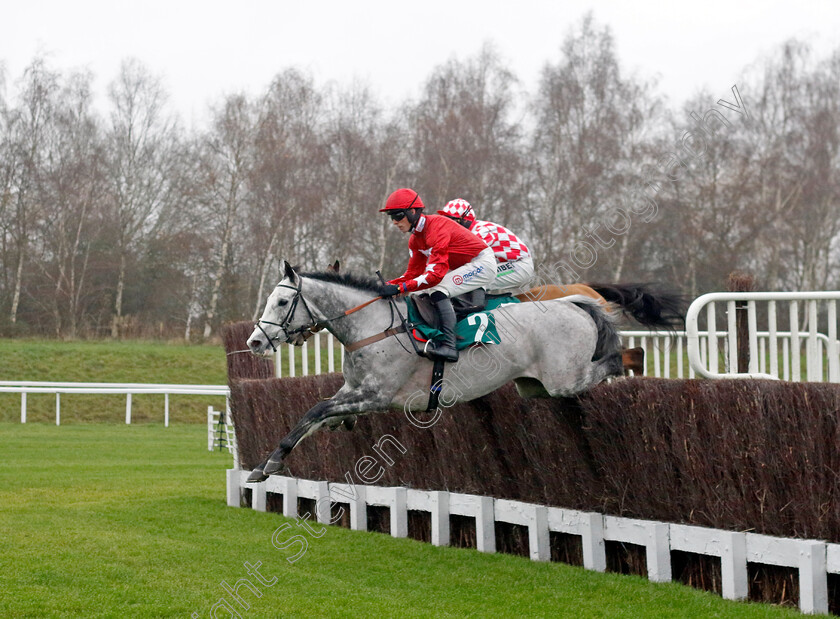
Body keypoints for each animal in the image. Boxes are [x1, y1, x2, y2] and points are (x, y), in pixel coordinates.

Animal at [244, 262, 624, 484]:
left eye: (281, 302)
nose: (255, 341)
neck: (372, 327)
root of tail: (574, 304)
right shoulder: (354, 389)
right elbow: (315, 416)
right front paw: (271, 461)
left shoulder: (377, 395)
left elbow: (316, 409)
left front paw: (272, 462)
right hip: (533, 386)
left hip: (565, 378)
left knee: (606, 366)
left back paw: (621, 365)